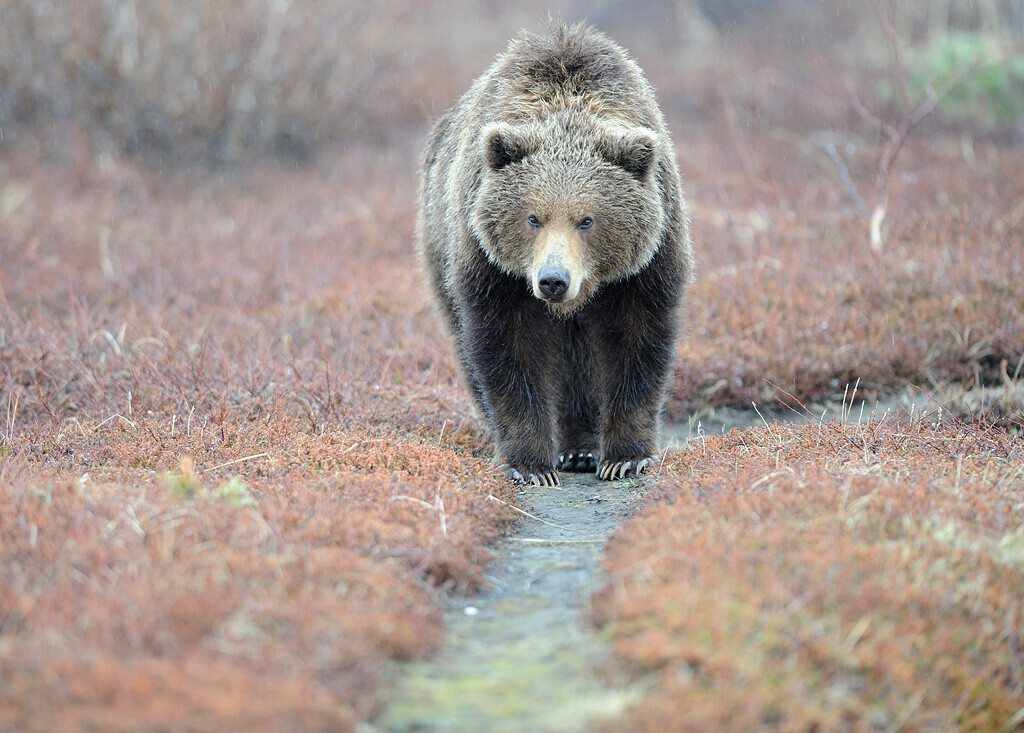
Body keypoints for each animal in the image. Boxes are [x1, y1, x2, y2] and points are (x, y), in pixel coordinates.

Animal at [417, 21, 696, 487]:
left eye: (586, 220)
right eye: (534, 217)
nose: (552, 280)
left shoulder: (645, 265)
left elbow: (637, 344)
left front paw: (625, 457)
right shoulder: (493, 270)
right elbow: (508, 352)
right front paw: (531, 464)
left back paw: (581, 448)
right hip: (439, 245)